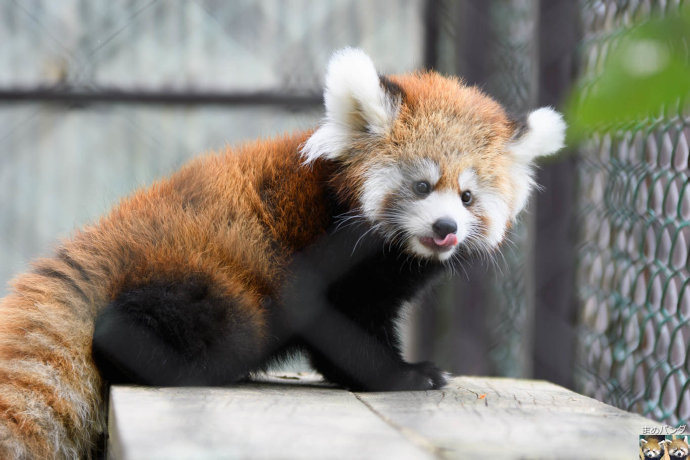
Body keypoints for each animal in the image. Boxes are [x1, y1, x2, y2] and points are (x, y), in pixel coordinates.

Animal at [0, 48, 560, 458]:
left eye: (467, 197)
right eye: (423, 186)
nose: (446, 228)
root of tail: (107, 237)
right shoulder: (327, 264)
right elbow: (344, 336)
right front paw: (407, 376)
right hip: (214, 280)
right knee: (162, 325)